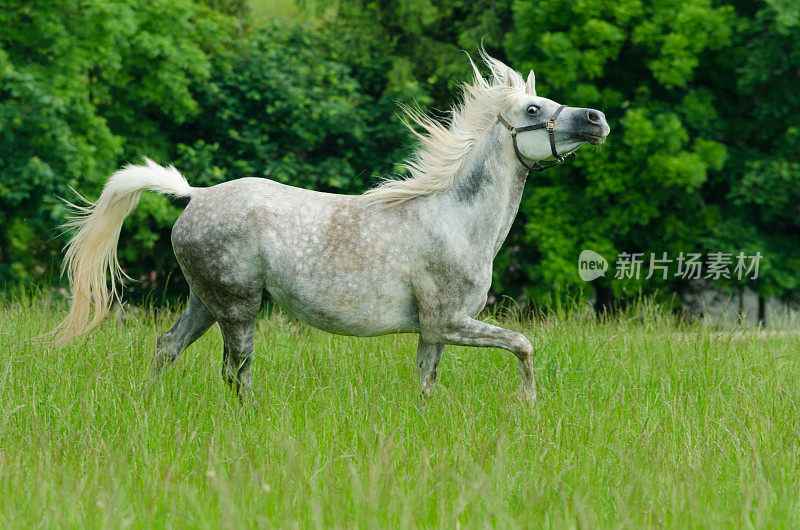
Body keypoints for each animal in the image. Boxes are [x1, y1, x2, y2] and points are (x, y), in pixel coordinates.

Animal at [54, 53, 608, 400]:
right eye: (534, 108)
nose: (597, 119)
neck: (458, 221)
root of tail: (198, 195)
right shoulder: (450, 321)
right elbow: (523, 345)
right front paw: (528, 404)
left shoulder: (433, 331)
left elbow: (426, 383)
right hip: (238, 307)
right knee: (236, 371)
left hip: (205, 301)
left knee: (167, 347)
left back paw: (151, 402)